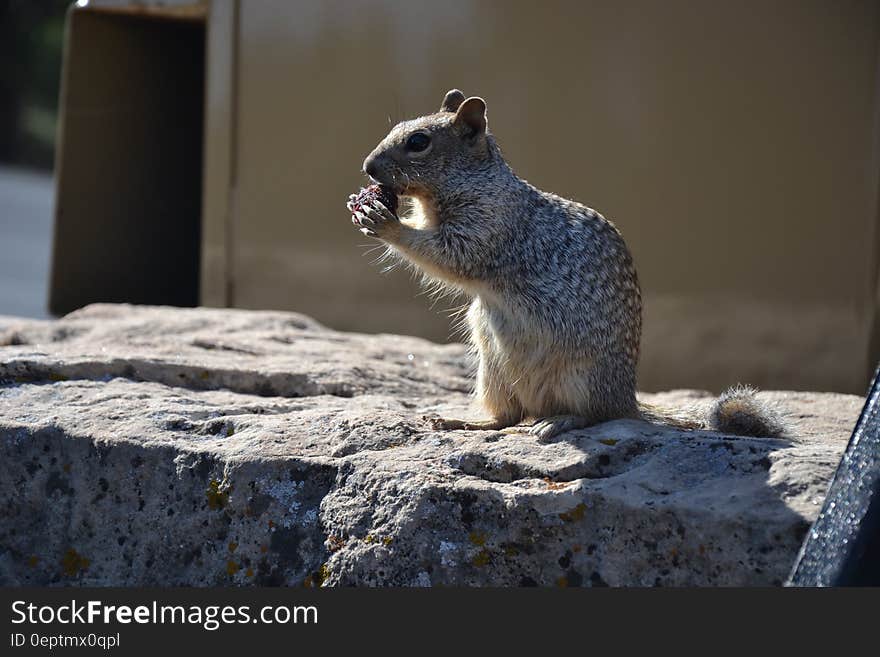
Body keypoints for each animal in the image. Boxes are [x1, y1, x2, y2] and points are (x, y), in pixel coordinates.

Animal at [348, 89, 788, 440]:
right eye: (399, 126)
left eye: (418, 141)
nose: (367, 167)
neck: (475, 182)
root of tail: (626, 397)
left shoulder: (486, 226)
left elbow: (451, 255)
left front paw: (386, 223)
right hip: (492, 371)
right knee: (508, 417)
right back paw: (464, 421)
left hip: (579, 377)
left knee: (593, 416)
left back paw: (558, 422)